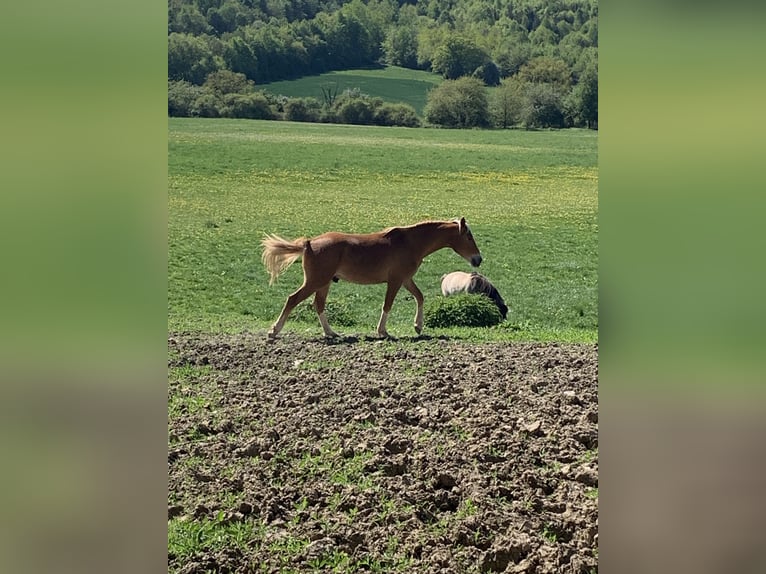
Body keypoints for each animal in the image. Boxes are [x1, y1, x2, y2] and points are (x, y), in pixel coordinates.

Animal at [261, 217, 482, 339]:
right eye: (469, 236)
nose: (478, 259)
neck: (410, 242)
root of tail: (308, 243)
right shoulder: (395, 281)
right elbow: (388, 304)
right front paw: (382, 331)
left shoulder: (405, 280)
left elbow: (420, 297)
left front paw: (418, 326)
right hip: (315, 281)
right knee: (293, 299)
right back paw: (274, 331)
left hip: (323, 283)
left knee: (319, 305)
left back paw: (331, 333)